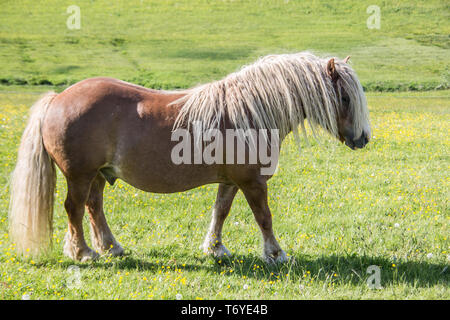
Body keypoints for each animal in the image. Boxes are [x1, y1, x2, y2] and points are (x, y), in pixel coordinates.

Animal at [8, 52, 370, 262]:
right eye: (344, 97)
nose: (363, 138)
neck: (249, 111)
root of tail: (59, 98)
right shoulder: (253, 182)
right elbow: (264, 217)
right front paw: (276, 253)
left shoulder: (232, 180)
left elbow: (220, 212)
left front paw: (215, 248)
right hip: (80, 175)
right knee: (74, 209)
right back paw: (83, 253)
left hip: (98, 174)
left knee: (93, 208)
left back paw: (111, 248)